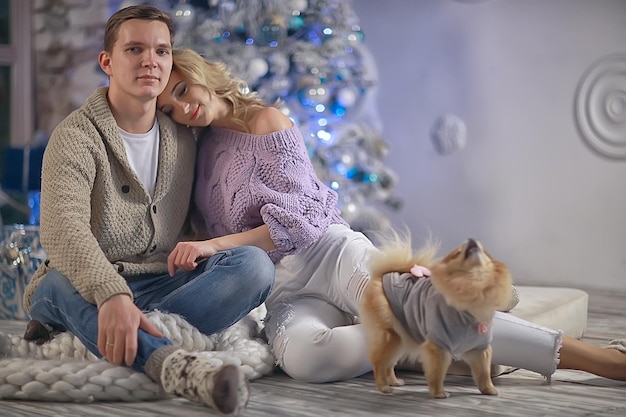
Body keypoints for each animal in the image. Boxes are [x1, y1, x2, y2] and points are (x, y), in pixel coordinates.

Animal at [360, 232, 512, 398]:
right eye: (458, 252)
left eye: (484, 251)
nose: (471, 239)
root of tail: (382, 275)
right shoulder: (438, 344)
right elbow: (437, 372)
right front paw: (438, 392)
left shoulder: (480, 347)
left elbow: (484, 373)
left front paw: (489, 389)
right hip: (390, 336)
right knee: (378, 362)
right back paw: (383, 387)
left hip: (400, 338)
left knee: (389, 363)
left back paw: (393, 381)